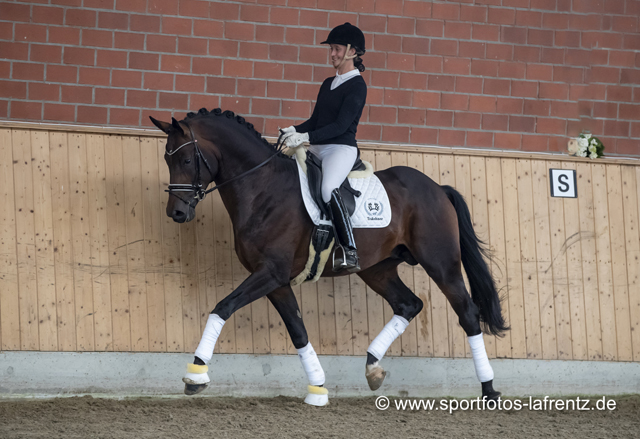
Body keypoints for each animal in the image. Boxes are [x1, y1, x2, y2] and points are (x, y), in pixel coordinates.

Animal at [151, 109, 510, 406]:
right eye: (168, 161)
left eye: (186, 161)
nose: (176, 213)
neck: (263, 187)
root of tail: (437, 188)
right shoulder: (275, 280)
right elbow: (298, 331)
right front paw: (318, 389)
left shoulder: (270, 273)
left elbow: (222, 307)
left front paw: (196, 374)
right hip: (377, 269)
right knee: (408, 304)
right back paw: (373, 368)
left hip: (441, 263)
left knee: (467, 313)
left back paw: (489, 390)